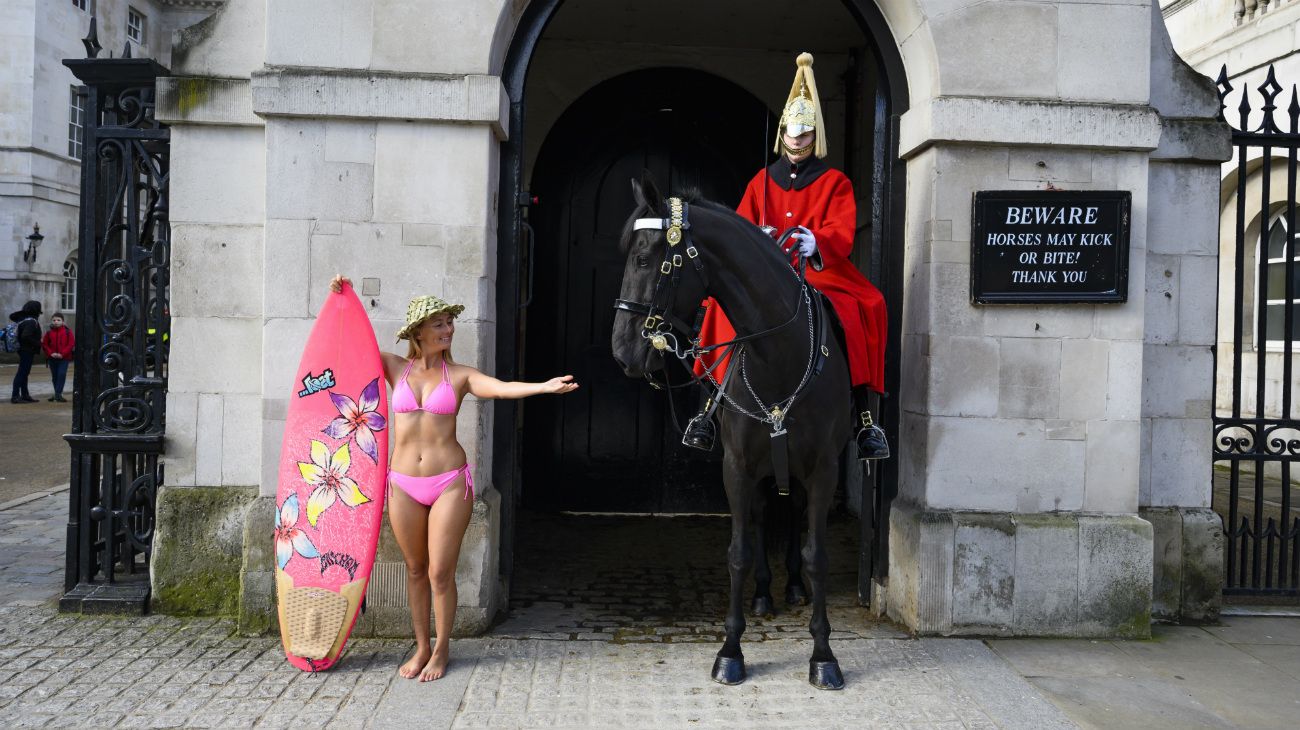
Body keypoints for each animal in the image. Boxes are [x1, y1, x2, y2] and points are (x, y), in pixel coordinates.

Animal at [611, 175, 852, 685]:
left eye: (643, 259)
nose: (622, 351)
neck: (779, 355)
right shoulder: (737, 468)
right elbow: (738, 552)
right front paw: (731, 651)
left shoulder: (824, 471)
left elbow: (816, 556)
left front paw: (823, 655)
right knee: (761, 519)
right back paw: (763, 593)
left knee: (793, 516)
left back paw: (792, 587)